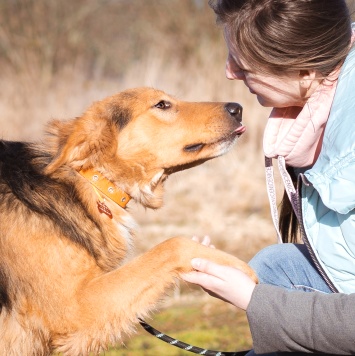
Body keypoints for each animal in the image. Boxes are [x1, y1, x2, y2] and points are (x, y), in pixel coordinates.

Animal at [0, 87, 258, 356]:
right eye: (162, 105)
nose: (237, 108)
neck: (92, 178)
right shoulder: (76, 308)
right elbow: (173, 244)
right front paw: (238, 267)